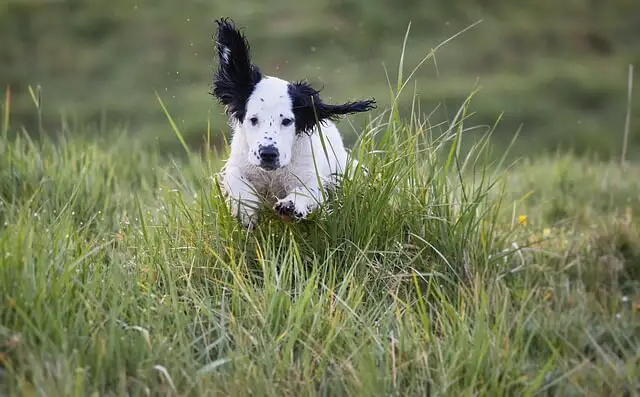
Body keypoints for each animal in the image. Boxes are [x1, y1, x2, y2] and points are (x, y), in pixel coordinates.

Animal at [212, 18, 378, 227]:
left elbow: (307, 191)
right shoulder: (240, 163)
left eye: (287, 121)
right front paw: (246, 211)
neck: (273, 174)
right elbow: (236, 178)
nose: (268, 154)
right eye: (253, 119)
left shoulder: (311, 177)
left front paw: (290, 205)